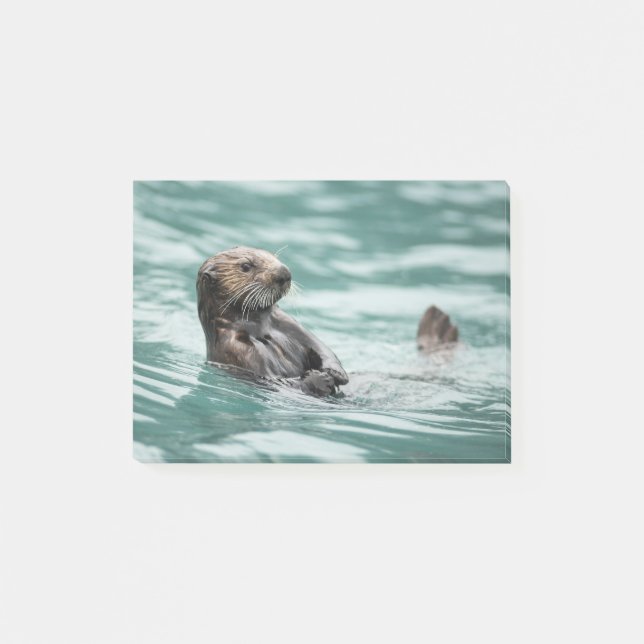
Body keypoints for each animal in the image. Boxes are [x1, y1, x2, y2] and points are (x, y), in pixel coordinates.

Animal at [197, 246, 348, 396]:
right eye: (246, 266)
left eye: (274, 256)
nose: (284, 273)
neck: (260, 328)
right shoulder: (238, 351)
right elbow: (276, 381)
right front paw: (320, 379)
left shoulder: (288, 323)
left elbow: (320, 347)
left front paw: (336, 373)